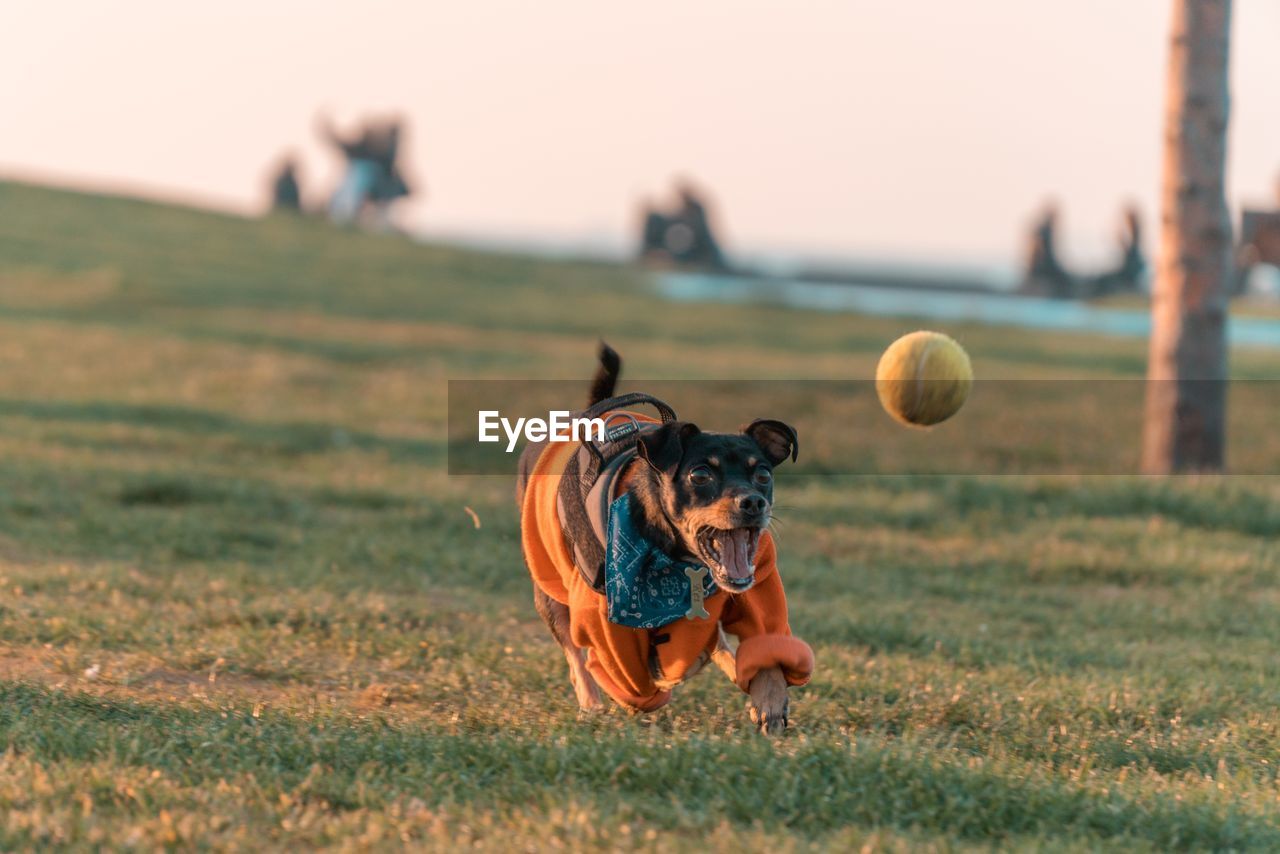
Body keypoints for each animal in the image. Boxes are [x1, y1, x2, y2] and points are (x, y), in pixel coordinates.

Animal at [514, 343, 814, 732]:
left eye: (762, 474)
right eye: (700, 475)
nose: (753, 502)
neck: (682, 563)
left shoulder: (756, 588)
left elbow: (764, 643)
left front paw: (770, 700)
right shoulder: (604, 616)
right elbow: (634, 672)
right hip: (549, 591)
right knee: (575, 655)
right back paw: (591, 703)